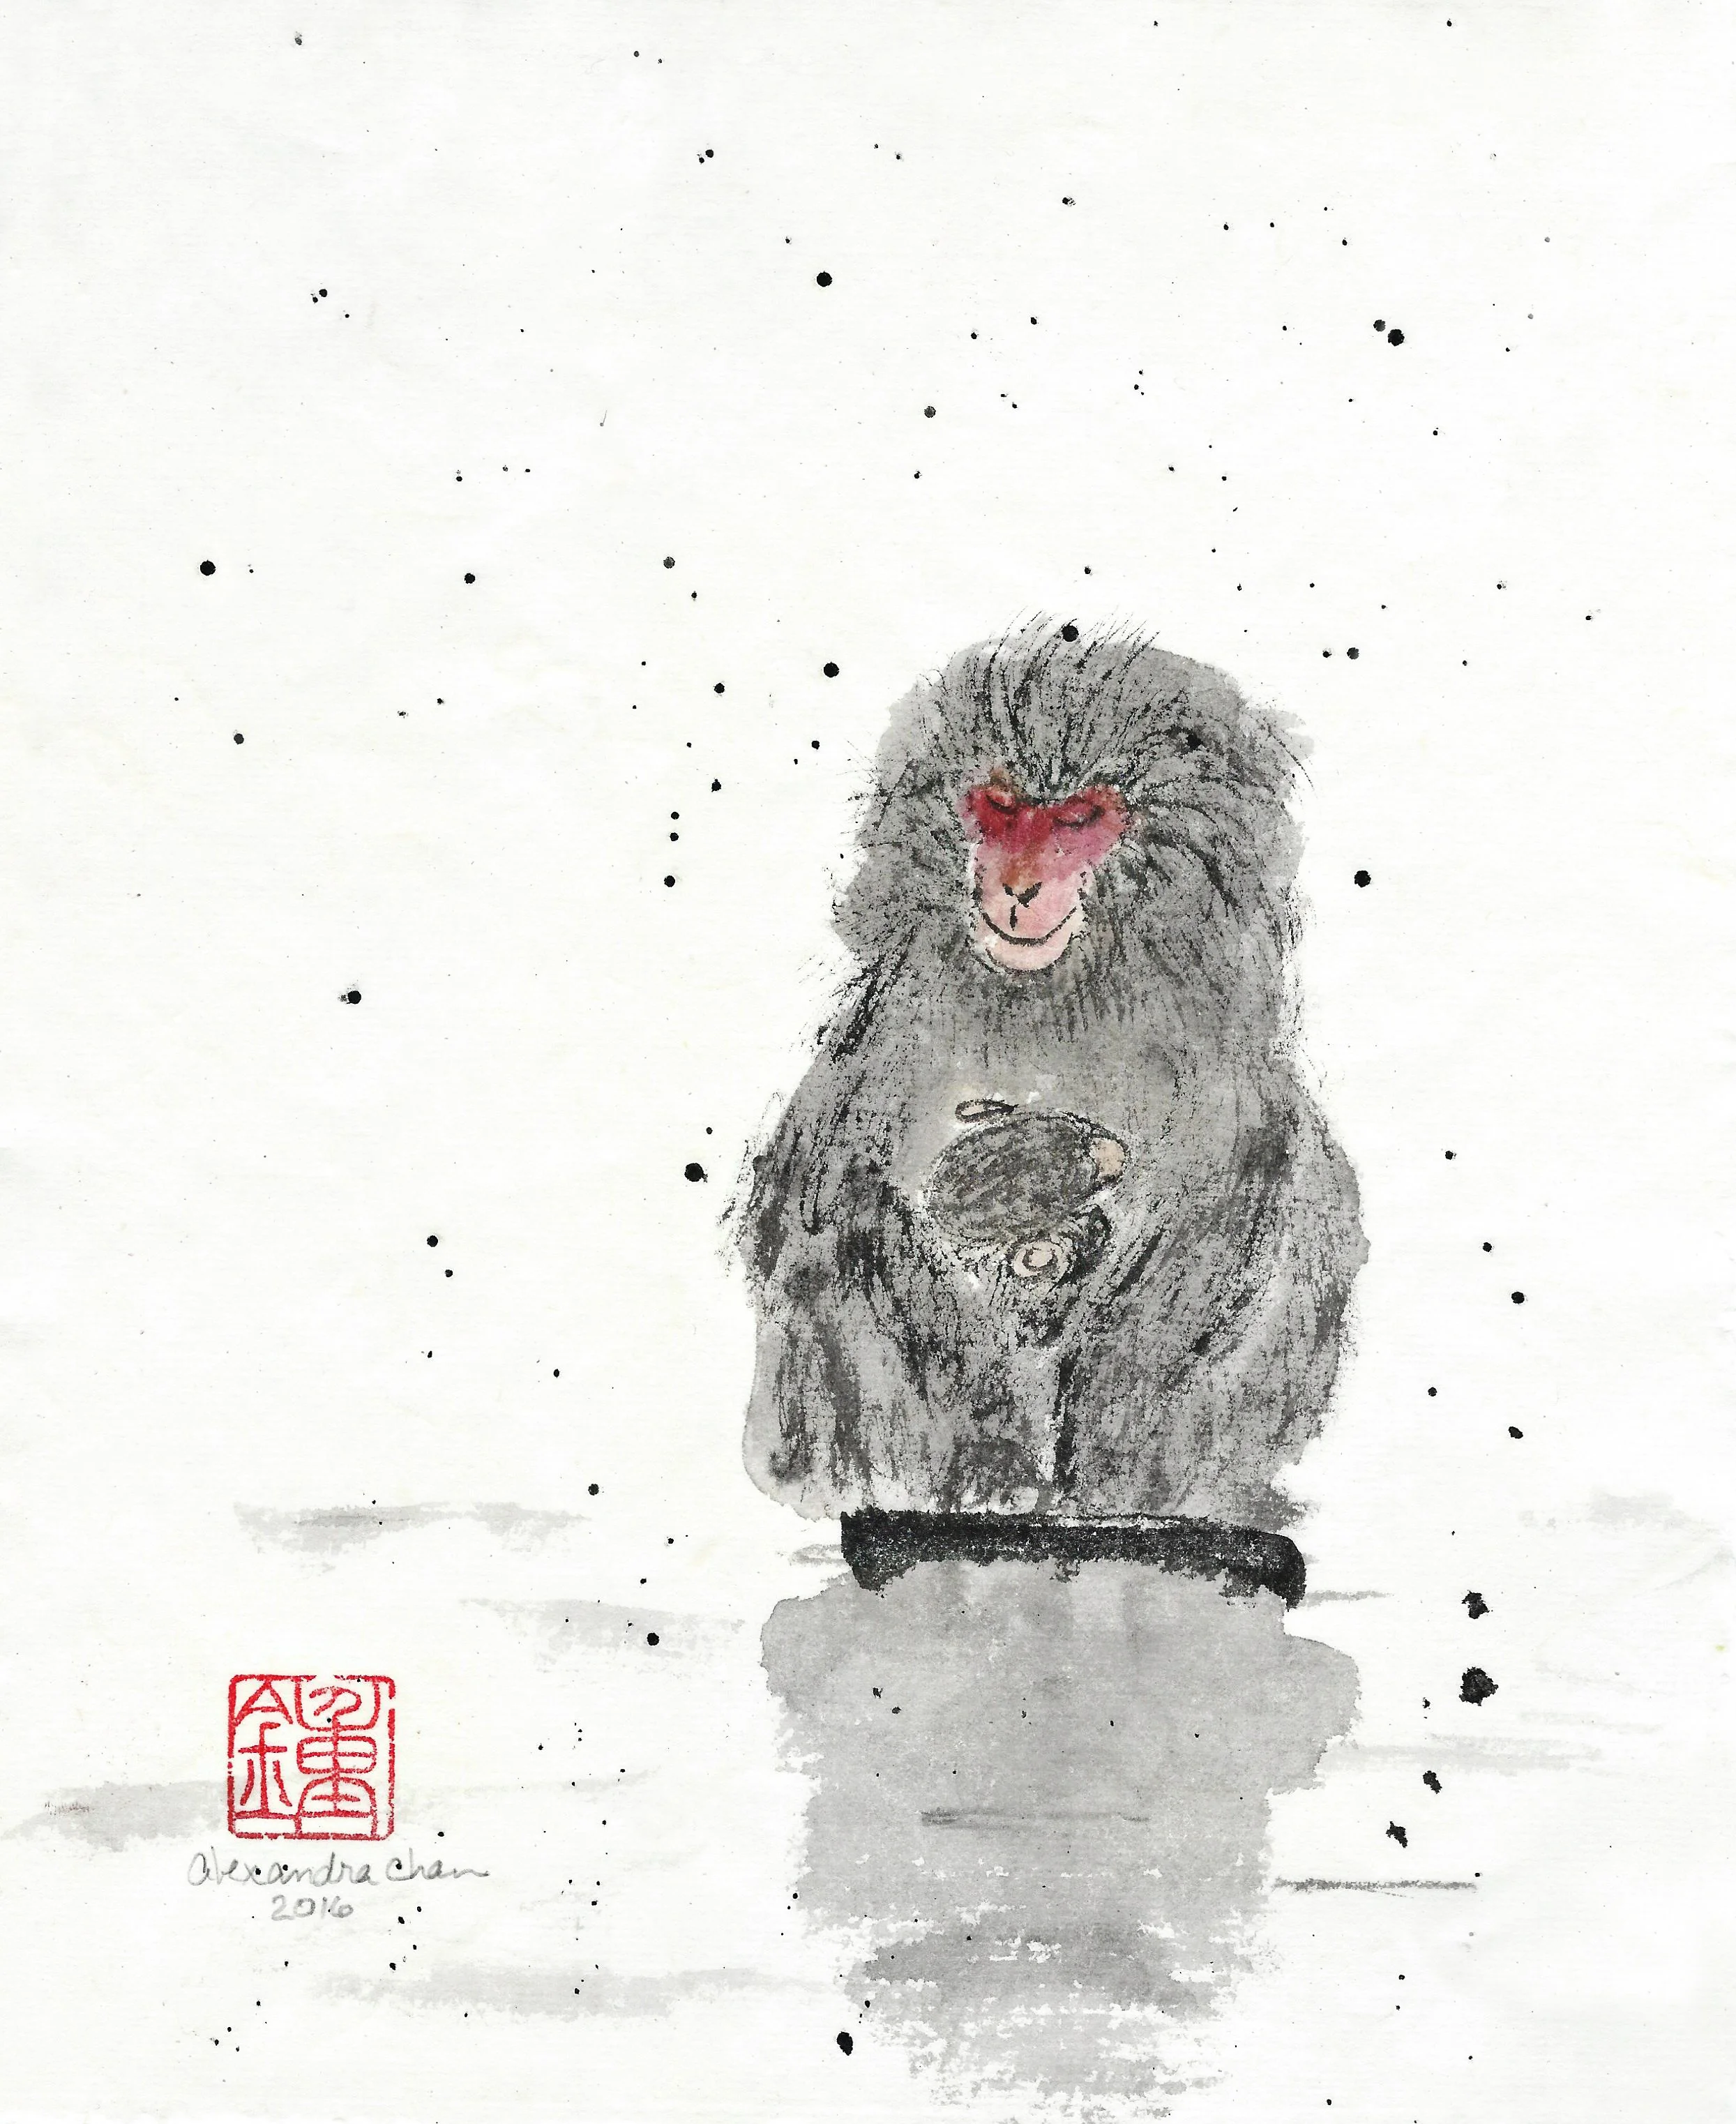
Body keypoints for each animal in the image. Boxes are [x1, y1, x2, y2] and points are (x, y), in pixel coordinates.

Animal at [740, 621, 1366, 1532]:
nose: (1017, 884)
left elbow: (1240, 1201)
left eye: (1077, 819)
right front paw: (989, 1449)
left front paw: (1116, 1460)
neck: (1054, 995)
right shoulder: (880, 1047)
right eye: (1002, 809)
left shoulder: (1224, 1081)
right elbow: (831, 1210)